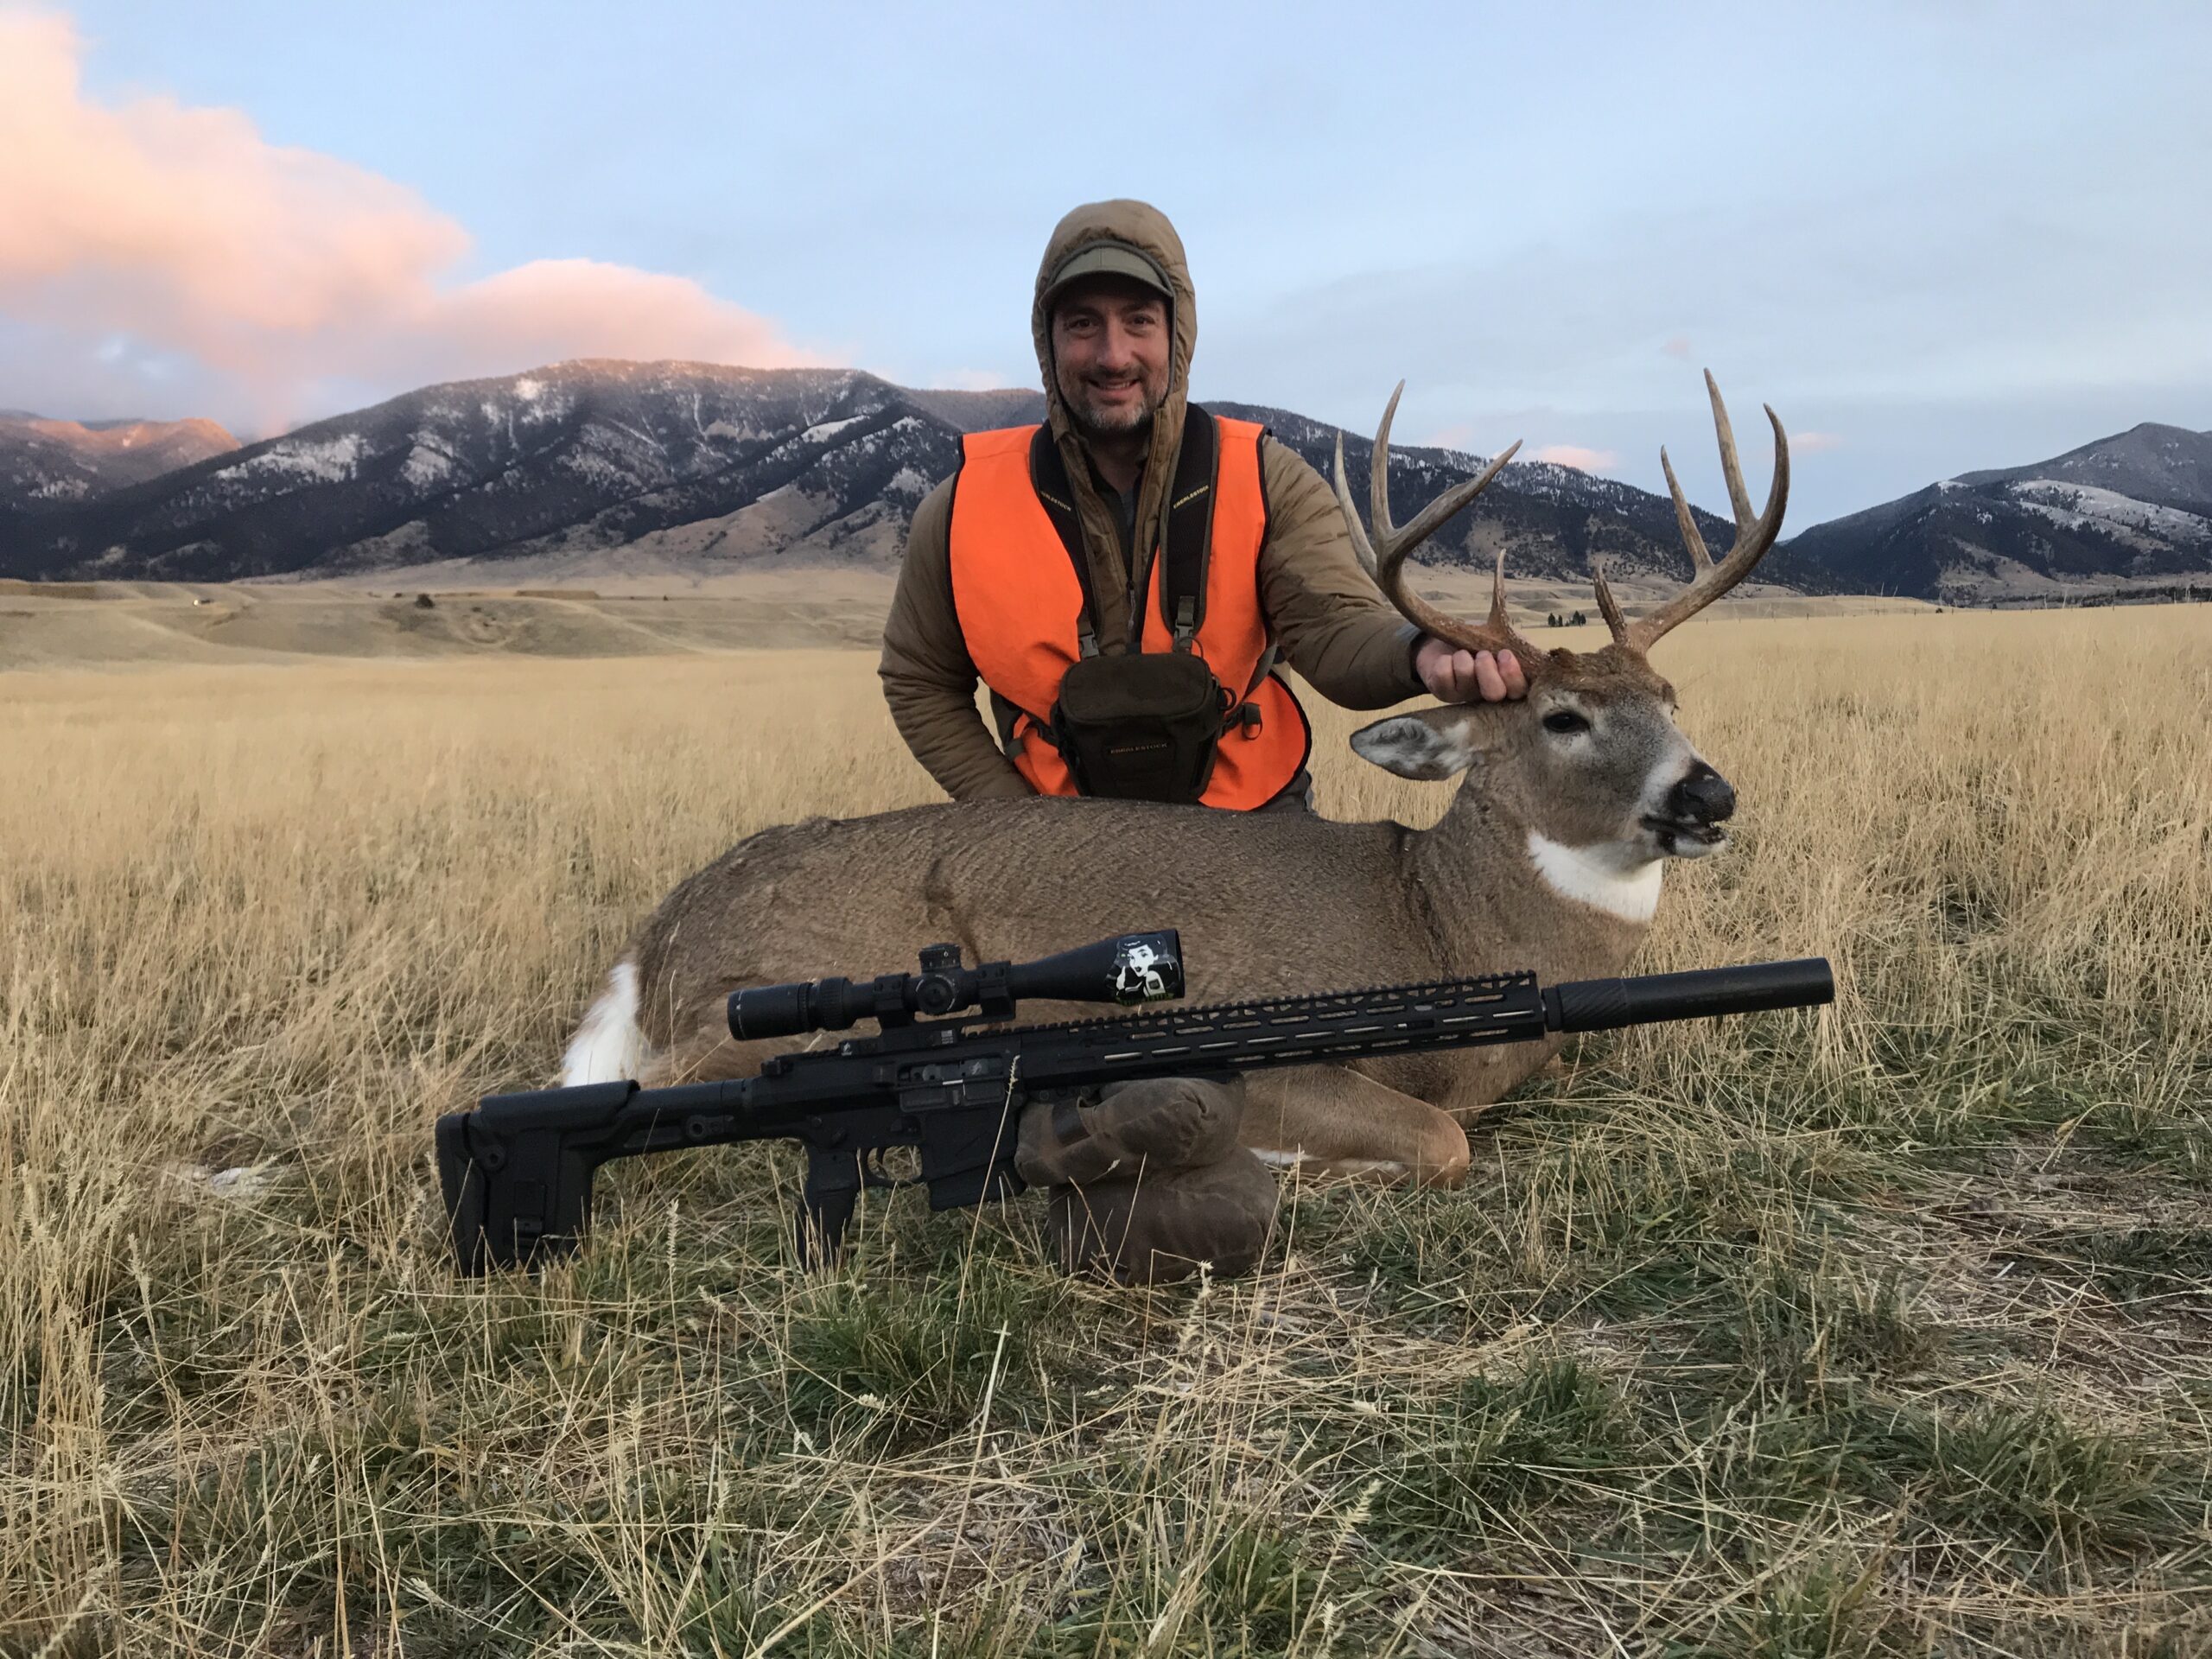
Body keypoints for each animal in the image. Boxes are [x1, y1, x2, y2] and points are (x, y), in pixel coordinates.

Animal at [561, 371, 1789, 1189]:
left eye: (1671, 698)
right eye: (1561, 717)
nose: (1708, 797)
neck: (1440, 925)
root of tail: (659, 936)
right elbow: (1437, 1141)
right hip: (782, 1004)